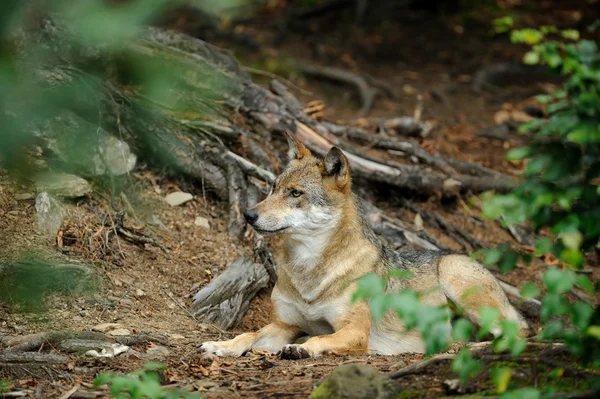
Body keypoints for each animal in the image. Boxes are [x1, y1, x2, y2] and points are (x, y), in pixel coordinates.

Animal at [202, 136, 528, 360]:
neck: (310, 272)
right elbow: (248, 334)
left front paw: (303, 348)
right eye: (273, 188)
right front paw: (221, 345)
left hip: (457, 279)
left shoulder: (354, 331)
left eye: (295, 194)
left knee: (520, 335)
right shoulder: (284, 325)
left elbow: (318, 340)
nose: (248, 214)